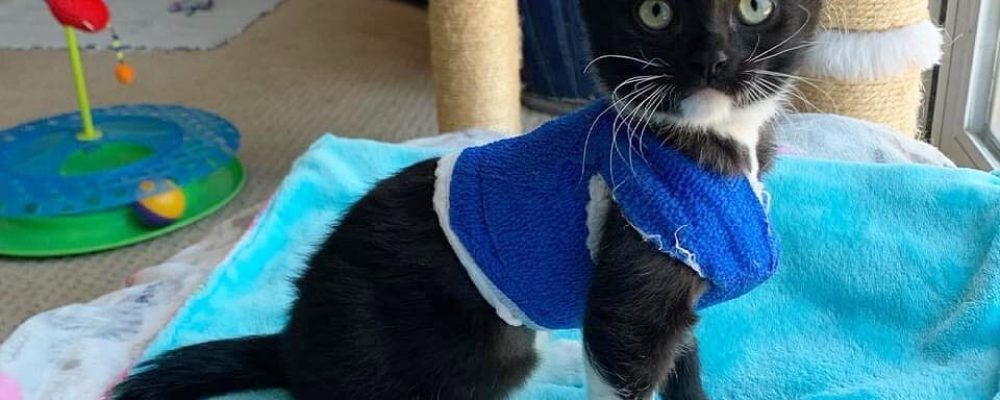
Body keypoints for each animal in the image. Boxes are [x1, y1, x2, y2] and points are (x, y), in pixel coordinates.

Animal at [113, 1, 820, 399]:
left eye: (754, 7)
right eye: (656, 13)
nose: (713, 60)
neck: (717, 146)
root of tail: (291, 345)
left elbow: (681, 366)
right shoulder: (630, 279)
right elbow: (625, 354)